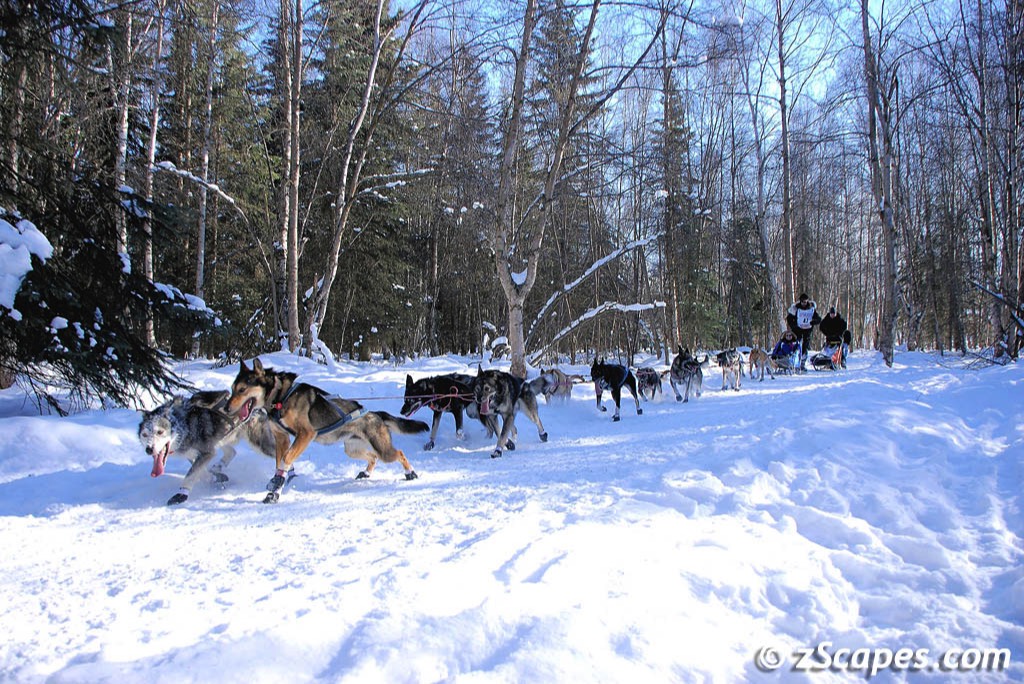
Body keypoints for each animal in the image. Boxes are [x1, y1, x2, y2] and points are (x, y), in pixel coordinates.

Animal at [226, 359, 429, 503]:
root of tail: (376, 414)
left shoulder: (306, 434)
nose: (227, 408)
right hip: (352, 449)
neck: (281, 396)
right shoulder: (282, 437)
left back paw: (410, 473)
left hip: (383, 449)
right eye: (233, 389)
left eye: (242, 389)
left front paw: (278, 483)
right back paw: (366, 473)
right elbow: (280, 463)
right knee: (373, 457)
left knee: (399, 453)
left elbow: (286, 458)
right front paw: (275, 489)